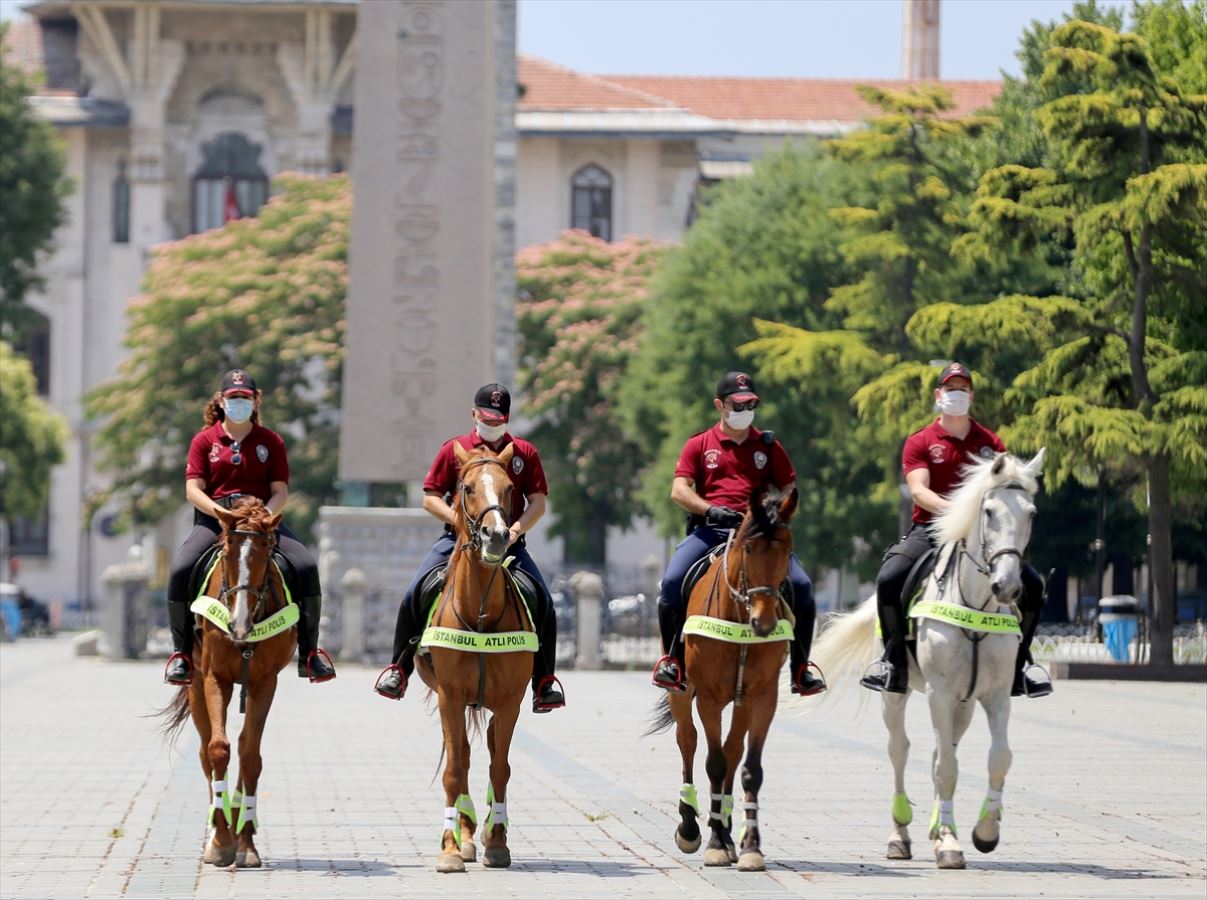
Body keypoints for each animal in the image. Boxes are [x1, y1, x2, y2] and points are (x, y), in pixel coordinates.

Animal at [160, 494, 296, 863]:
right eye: (227, 552)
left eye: (265, 553)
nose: (239, 624)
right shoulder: (213, 678)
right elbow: (218, 750)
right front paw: (221, 841)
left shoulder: (266, 682)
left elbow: (250, 754)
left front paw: (245, 842)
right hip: (194, 686)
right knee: (205, 752)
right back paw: (216, 832)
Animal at [417, 439, 535, 868]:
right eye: (466, 488)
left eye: (509, 488)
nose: (497, 536)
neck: (480, 612)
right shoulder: (450, 696)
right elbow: (455, 769)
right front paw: (450, 849)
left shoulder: (510, 701)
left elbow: (500, 768)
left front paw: (497, 840)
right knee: (463, 756)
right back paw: (464, 835)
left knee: (487, 750)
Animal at [646, 484, 796, 868]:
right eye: (749, 548)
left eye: (788, 550)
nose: (764, 622)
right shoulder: (710, 698)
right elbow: (713, 763)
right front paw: (713, 842)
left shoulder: (763, 698)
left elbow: (749, 767)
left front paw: (750, 846)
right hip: (682, 691)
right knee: (688, 741)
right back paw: (690, 826)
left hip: (741, 702)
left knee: (732, 749)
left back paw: (729, 832)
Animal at [811, 446, 1047, 863]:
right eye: (989, 511)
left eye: (1031, 513)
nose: (1007, 586)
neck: (976, 602)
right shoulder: (939, 692)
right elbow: (946, 769)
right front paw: (950, 842)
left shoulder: (996, 695)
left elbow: (997, 758)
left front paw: (983, 832)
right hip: (897, 695)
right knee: (900, 750)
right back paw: (900, 835)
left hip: (963, 703)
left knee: (941, 750)